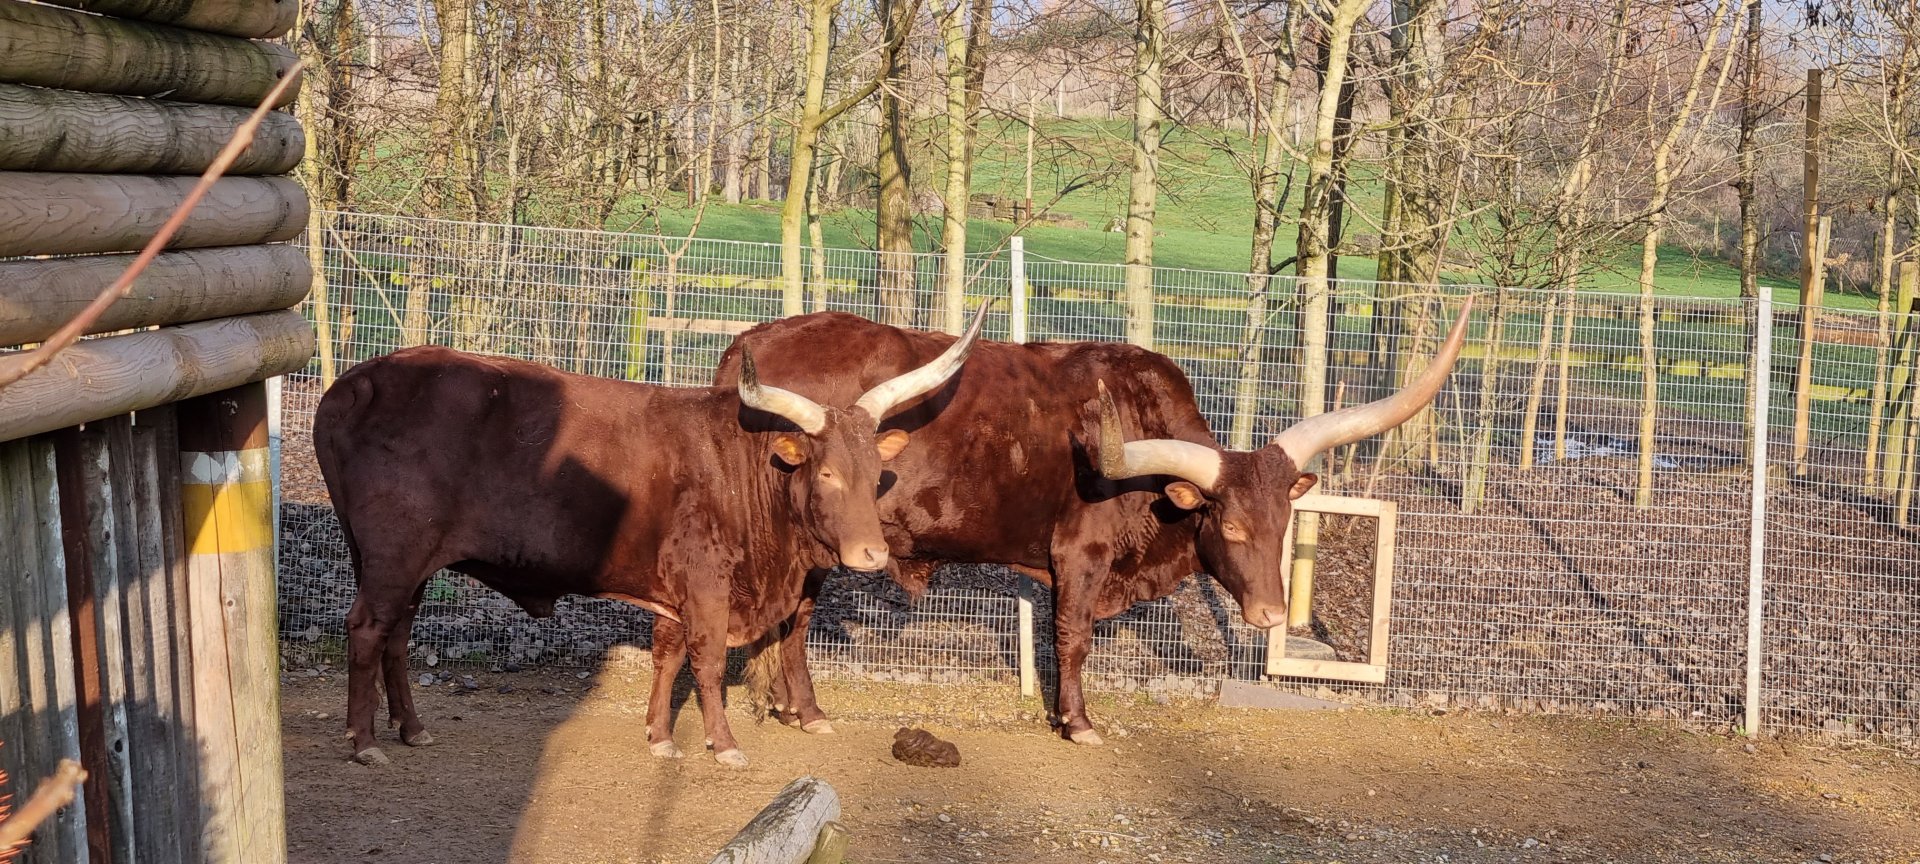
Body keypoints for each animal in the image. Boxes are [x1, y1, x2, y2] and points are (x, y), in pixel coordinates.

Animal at [313, 303, 991, 767]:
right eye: (825, 472)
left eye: (876, 473)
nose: (871, 553)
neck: (743, 466)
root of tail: (356, 380)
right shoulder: (708, 583)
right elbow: (708, 660)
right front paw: (722, 743)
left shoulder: (676, 591)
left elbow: (668, 655)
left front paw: (660, 736)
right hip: (394, 556)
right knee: (368, 630)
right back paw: (364, 740)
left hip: (410, 564)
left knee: (398, 633)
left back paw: (411, 727)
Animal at [713, 301, 1470, 744]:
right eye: (1229, 528)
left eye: (1283, 522)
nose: (1268, 615)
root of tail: (751, 341)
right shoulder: (1079, 555)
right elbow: (1071, 640)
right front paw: (1076, 721)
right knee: (794, 619)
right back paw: (807, 710)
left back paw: (790, 707)